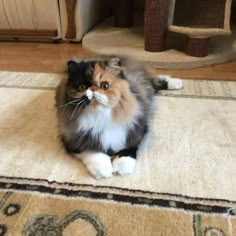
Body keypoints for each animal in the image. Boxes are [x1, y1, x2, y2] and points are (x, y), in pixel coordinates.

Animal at [55, 57, 183, 179]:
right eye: (81, 87)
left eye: (105, 86)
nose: (93, 89)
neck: (102, 116)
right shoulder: (74, 139)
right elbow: (93, 152)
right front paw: (104, 170)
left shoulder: (137, 129)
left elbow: (129, 148)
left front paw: (123, 166)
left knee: (156, 80)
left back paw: (178, 83)